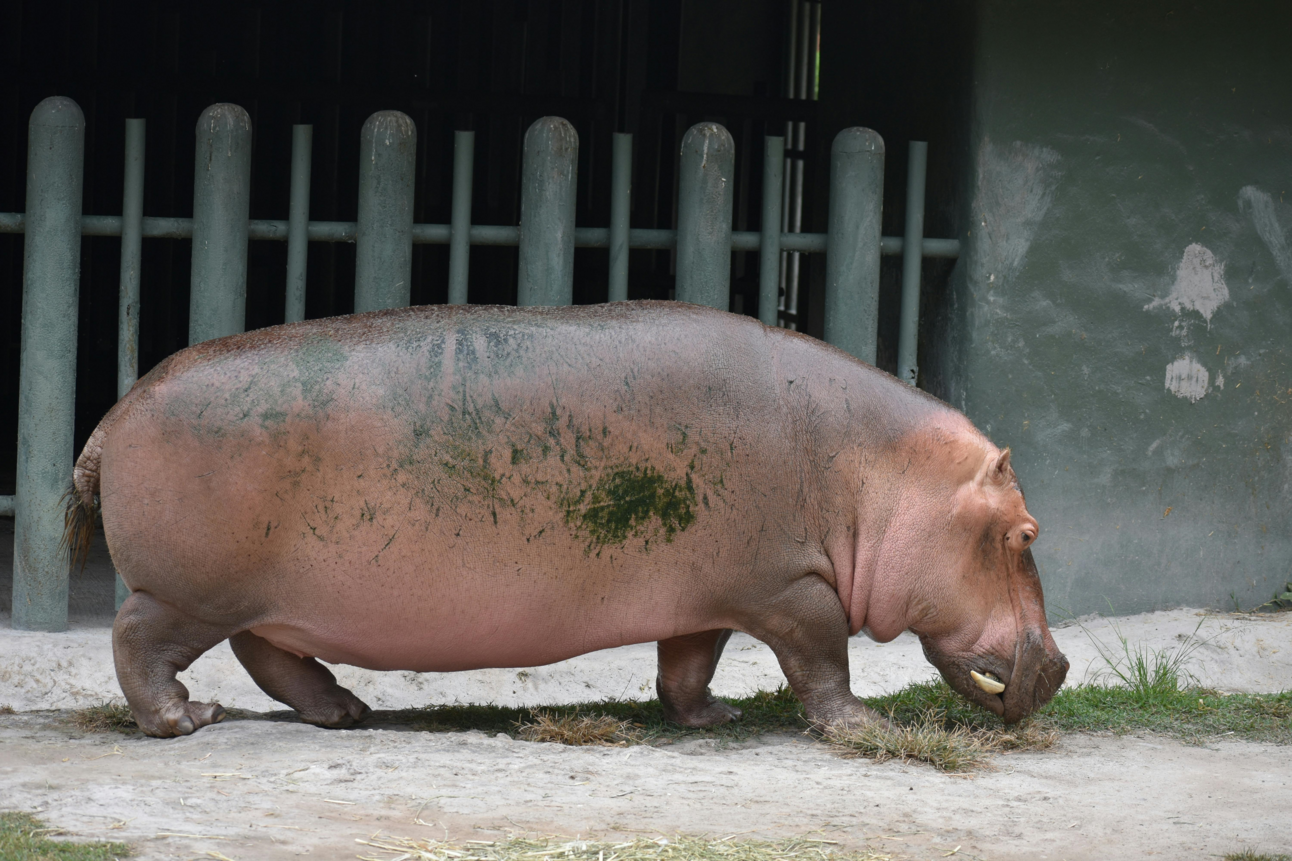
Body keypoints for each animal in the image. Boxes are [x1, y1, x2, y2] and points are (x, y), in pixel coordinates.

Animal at [65, 301, 1068, 738]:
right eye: (1026, 534)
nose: (1059, 665)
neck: (881, 472)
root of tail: (113, 413)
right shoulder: (792, 585)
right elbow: (825, 663)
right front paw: (866, 729)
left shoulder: (710, 587)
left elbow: (689, 660)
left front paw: (707, 716)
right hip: (187, 590)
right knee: (136, 640)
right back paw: (185, 718)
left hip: (261, 595)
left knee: (272, 655)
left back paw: (346, 710)